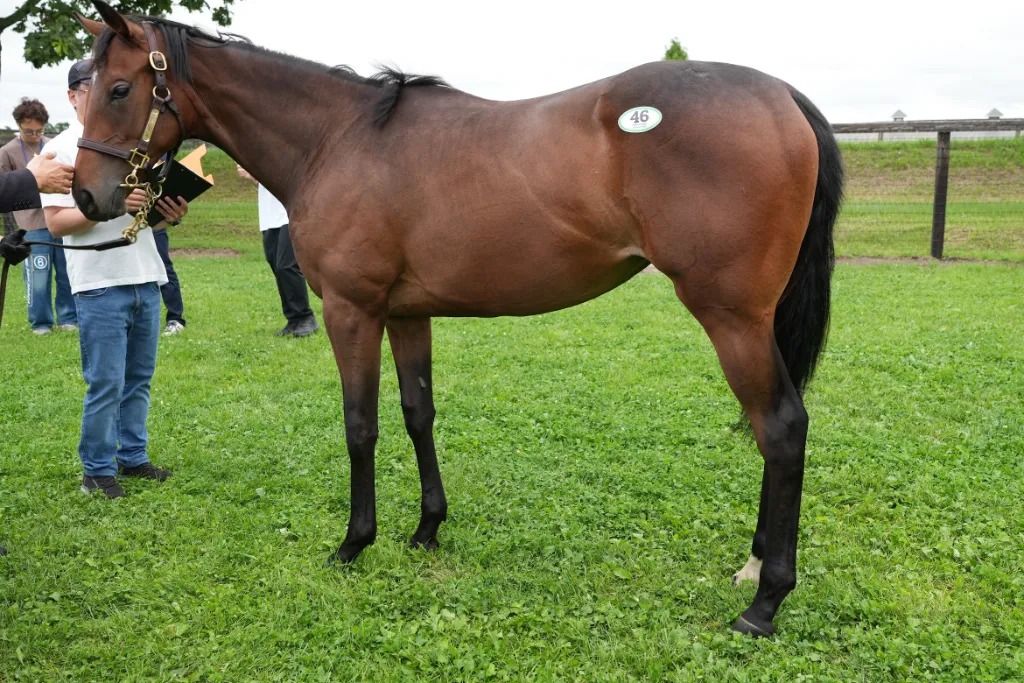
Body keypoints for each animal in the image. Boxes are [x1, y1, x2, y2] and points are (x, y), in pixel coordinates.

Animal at [72, 0, 843, 637]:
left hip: (731, 316)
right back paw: (754, 568)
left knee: (781, 428)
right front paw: (426, 529)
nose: (84, 197)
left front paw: (354, 541)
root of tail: (782, 95)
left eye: (119, 89)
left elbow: (360, 424)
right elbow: (418, 412)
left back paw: (765, 601)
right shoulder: (408, 313)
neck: (337, 139)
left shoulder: (351, 310)